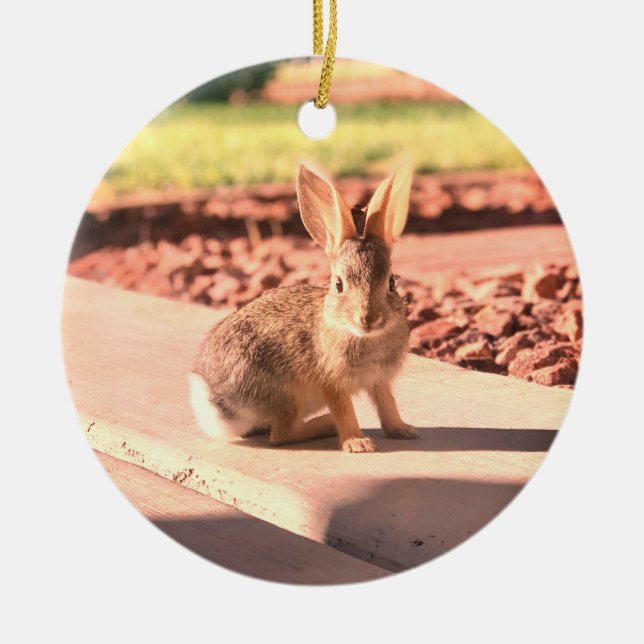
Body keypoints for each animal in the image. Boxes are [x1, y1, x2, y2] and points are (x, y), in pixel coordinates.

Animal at [189, 163, 416, 453]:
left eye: (391, 282)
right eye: (338, 284)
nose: (367, 318)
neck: (361, 335)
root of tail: (221, 403)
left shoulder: (379, 380)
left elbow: (387, 404)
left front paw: (403, 430)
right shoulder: (332, 383)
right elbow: (344, 411)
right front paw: (358, 443)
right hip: (286, 395)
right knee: (280, 435)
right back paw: (326, 423)